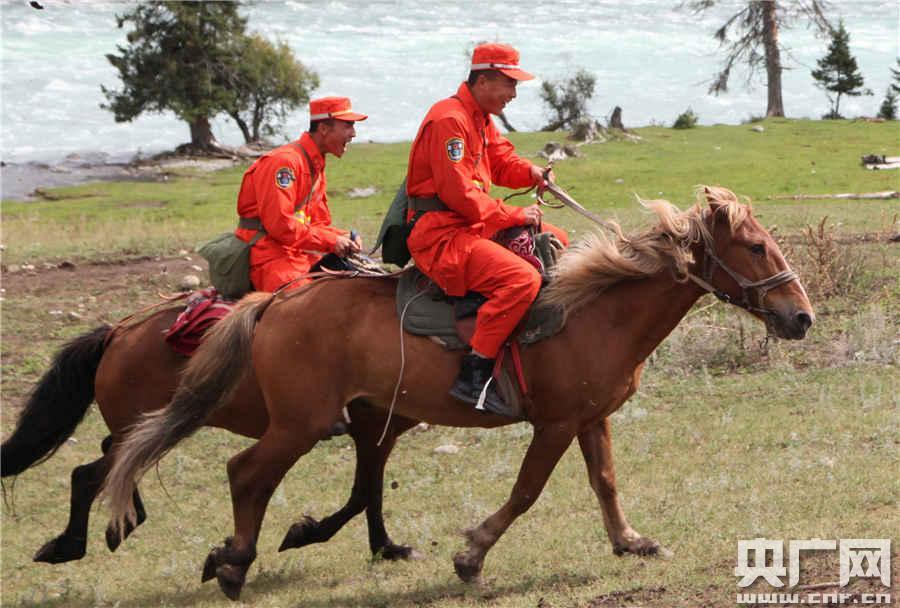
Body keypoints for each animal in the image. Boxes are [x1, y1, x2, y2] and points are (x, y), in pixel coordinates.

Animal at [1, 308, 418, 564]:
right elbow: (365, 494)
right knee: (91, 473)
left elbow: (369, 493)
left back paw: (121, 523)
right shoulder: (373, 432)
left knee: (112, 462)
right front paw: (310, 534)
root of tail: (117, 333)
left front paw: (385, 548)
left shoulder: (377, 436)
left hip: (145, 426)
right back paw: (68, 545)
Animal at [103, 186, 816, 600]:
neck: (593, 311)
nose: (802, 317)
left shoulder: (591, 418)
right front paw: (472, 555)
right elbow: (526, 492)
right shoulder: (555, 425)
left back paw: (232, 557)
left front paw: (631, 542)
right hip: (300, 424)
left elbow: (606, 483)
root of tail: (277, 300)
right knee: (245, 473)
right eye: (755, 245)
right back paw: (233, 563)